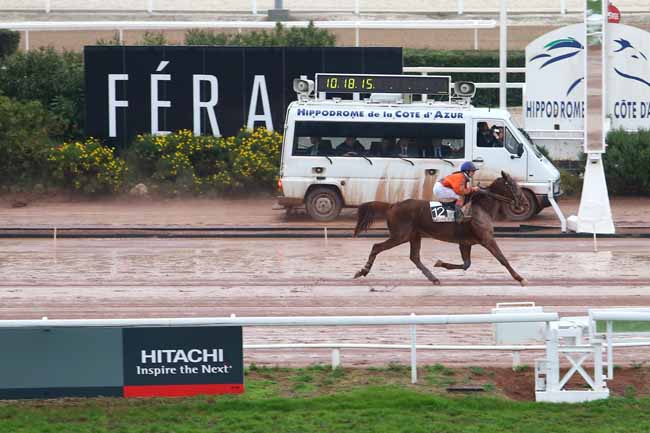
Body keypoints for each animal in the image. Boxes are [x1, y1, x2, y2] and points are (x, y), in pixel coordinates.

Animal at [352, 171, 528, 286]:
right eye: (513, 185)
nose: (526, 203)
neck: (481, 208)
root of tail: (392, 205)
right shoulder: (486, 239)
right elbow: (502, 259)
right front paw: (520, 278)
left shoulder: (466, 243)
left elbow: (466, 264)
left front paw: (440, 263)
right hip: (400, 236)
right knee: (377, 247)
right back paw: (363, 271)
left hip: (414, 236)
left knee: (414, 257)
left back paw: (434, 278)